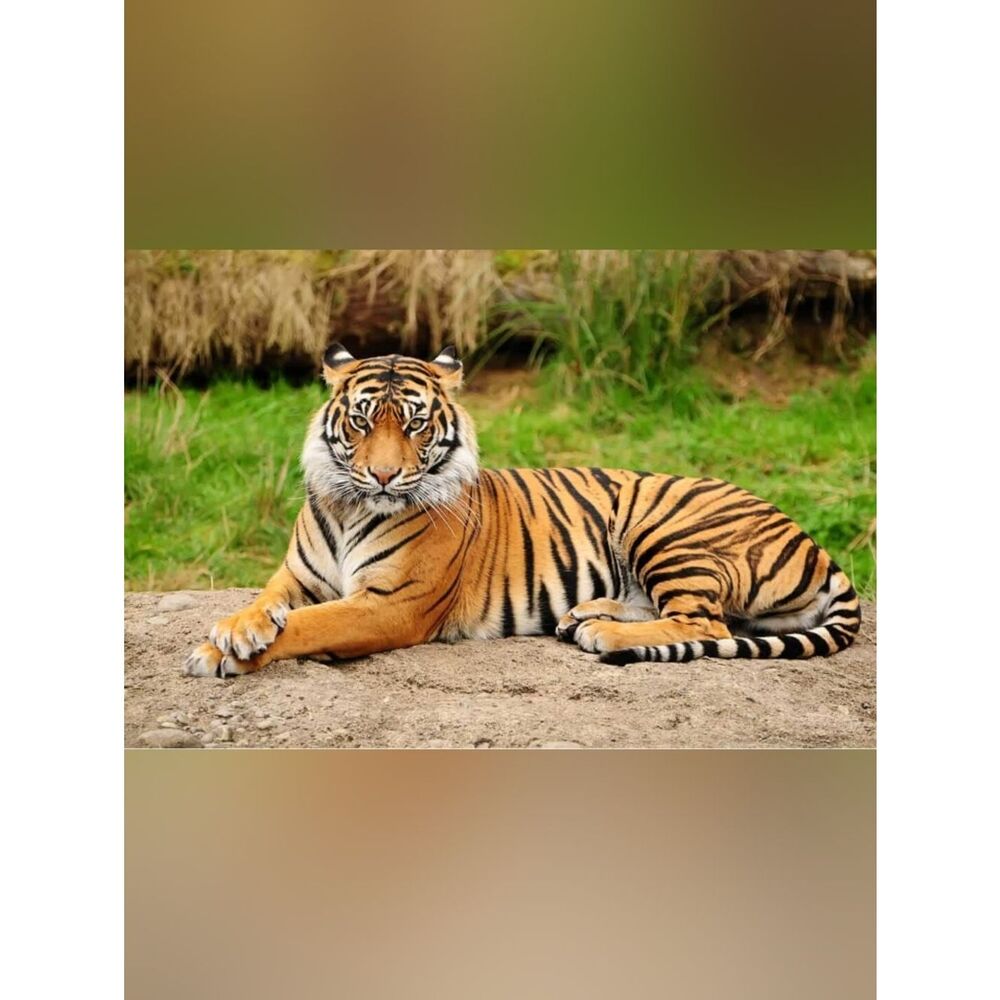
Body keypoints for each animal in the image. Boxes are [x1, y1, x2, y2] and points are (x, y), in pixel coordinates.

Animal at [185, 344, 861, 678]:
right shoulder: (296, 576)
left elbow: (310, 625)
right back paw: (584, 615)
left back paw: (603, 632)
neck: (352, 507)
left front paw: (222, 654)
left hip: (666, 529)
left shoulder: (392, 604)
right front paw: (234, 632)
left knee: (707, 624)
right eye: (361, 421)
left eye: (415, 424)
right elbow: (268, 604)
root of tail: (812, 539)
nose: (382, 474)